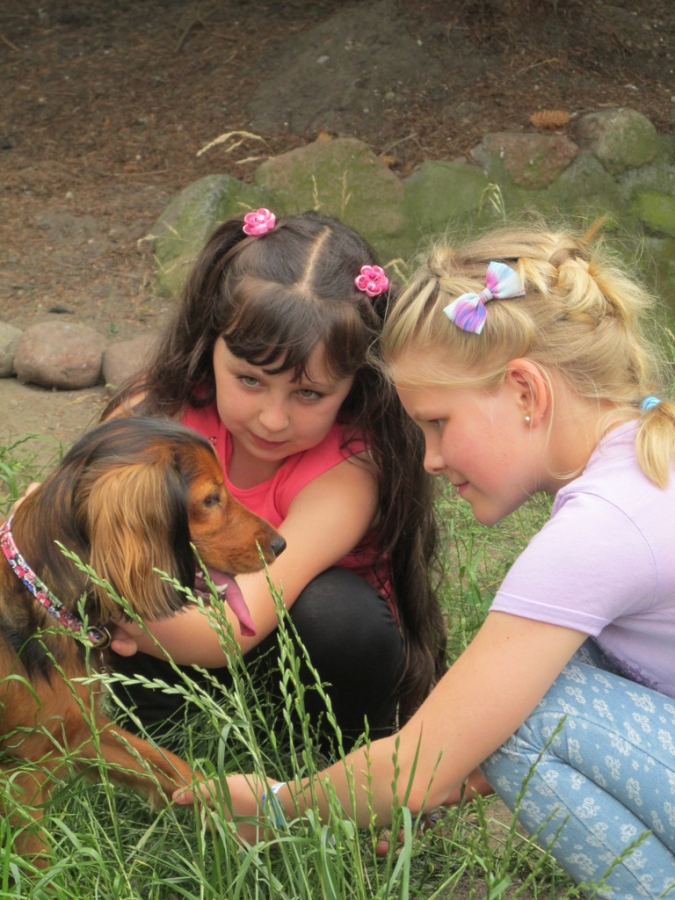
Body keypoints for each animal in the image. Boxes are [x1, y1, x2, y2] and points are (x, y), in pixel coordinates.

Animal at [0, 418, 286, 868]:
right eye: (211, 499)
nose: (280, 544)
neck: (39, 595)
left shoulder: (82, 730)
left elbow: (172, 767)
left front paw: (234, 811)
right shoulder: (21, 775)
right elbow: (40, 864)